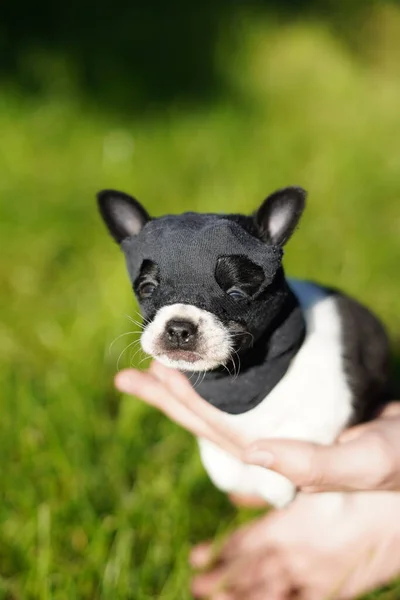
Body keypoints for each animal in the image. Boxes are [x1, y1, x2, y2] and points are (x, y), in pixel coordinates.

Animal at [97, 186, 390, 506]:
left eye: (236, 294)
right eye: (147, 290)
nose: (178, 328)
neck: (242, 379)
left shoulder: (331, 402)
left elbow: (294, 433)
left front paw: (273, 480)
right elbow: (218, 461)